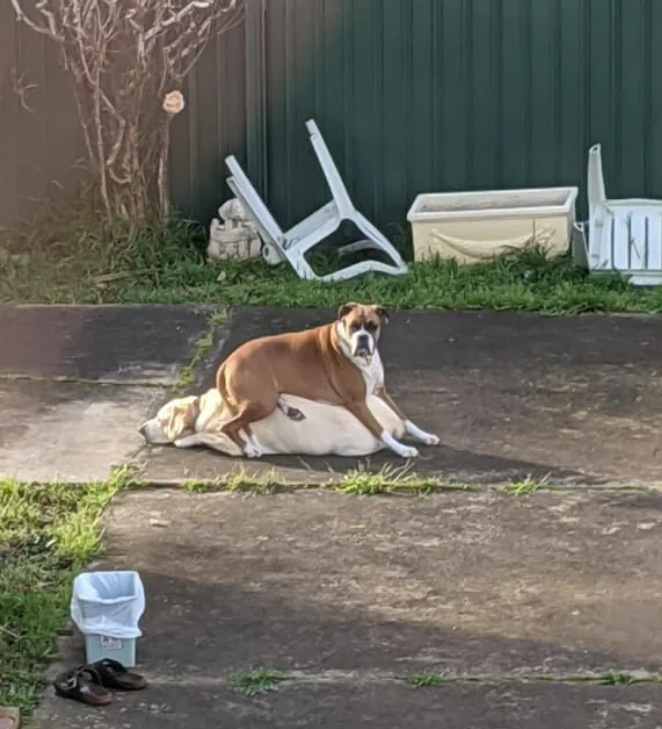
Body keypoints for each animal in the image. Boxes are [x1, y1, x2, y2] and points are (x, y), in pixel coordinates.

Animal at [139, 386, 404, 456]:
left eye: (160, 419)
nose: (140, 429)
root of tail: (395, 422)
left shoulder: (232, 444)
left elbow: (203, 434)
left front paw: (184, 440)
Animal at [214, 302, 440, 456]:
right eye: (353, 326)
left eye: (372, 326)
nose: (363, 338)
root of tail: (227, 360)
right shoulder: (358, 403)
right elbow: (380, 429)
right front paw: (402, 449)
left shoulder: (380, 391)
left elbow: (404, 418)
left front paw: (425, 436)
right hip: (262, 402)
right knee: (228, 426)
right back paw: (249, 449)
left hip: (263, 399)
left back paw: (291, 409)